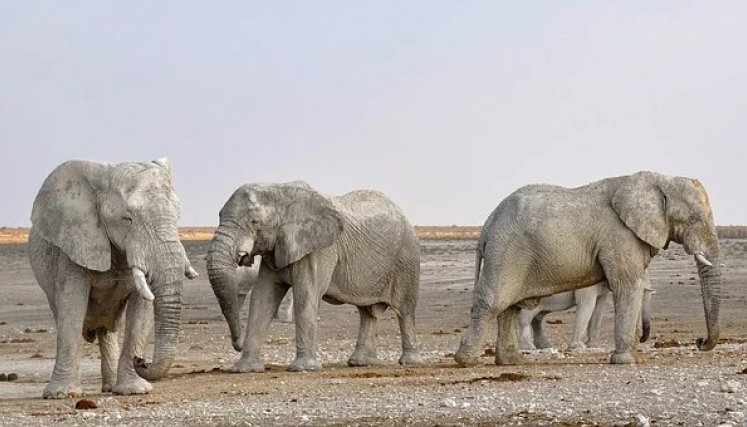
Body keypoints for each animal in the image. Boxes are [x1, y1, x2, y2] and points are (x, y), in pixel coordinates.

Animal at [27, 159, 197, 398]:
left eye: (178, 217)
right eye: (127, 219)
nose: (142, 360)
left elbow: (140, 311)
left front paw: (134, 390)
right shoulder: (74, 244)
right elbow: (72, 306)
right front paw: (62, 394)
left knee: (106, 330)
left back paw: (110, 387)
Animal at [206, 181, 421, 372]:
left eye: (254, 222)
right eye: (219, 216)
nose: (238, 344)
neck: (279, 190)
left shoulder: (320, 249)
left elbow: (305, 294)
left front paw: (303, 368)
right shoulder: (276, 248)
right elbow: (263, 297)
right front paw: (245, 369)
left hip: (406, 258)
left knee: (404, 310)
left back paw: (408, 361)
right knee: (367, 313)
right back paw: (360, 363)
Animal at [518, 281, 656, 350]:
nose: (641, 339)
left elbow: (598, 308)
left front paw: (592, 345)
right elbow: (587, 304)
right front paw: (579, 346)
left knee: (537, 319)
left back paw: (544, 347)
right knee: (526, 318)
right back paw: (529, 347)